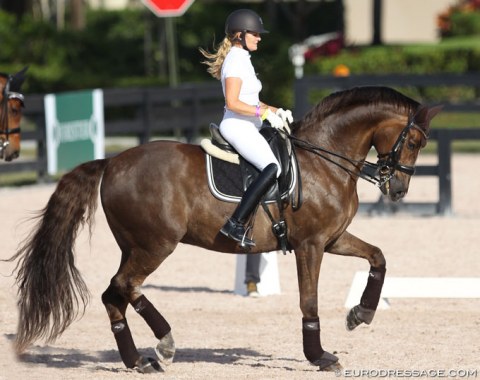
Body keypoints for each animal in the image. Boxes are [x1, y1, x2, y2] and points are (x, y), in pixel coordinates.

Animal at [8, 85, 442, 372]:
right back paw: (165, 343)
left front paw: (360, 314)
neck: (325, 159)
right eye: (414, 141)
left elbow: (378, 258)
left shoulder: (332, 239)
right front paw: (320, 356)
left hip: (134, 246)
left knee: (114, 295)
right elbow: (309, 301)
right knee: (125, 287)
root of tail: (112, 161)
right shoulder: (311, 245)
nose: (398, 190)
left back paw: (138, 361)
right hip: (155, 245)